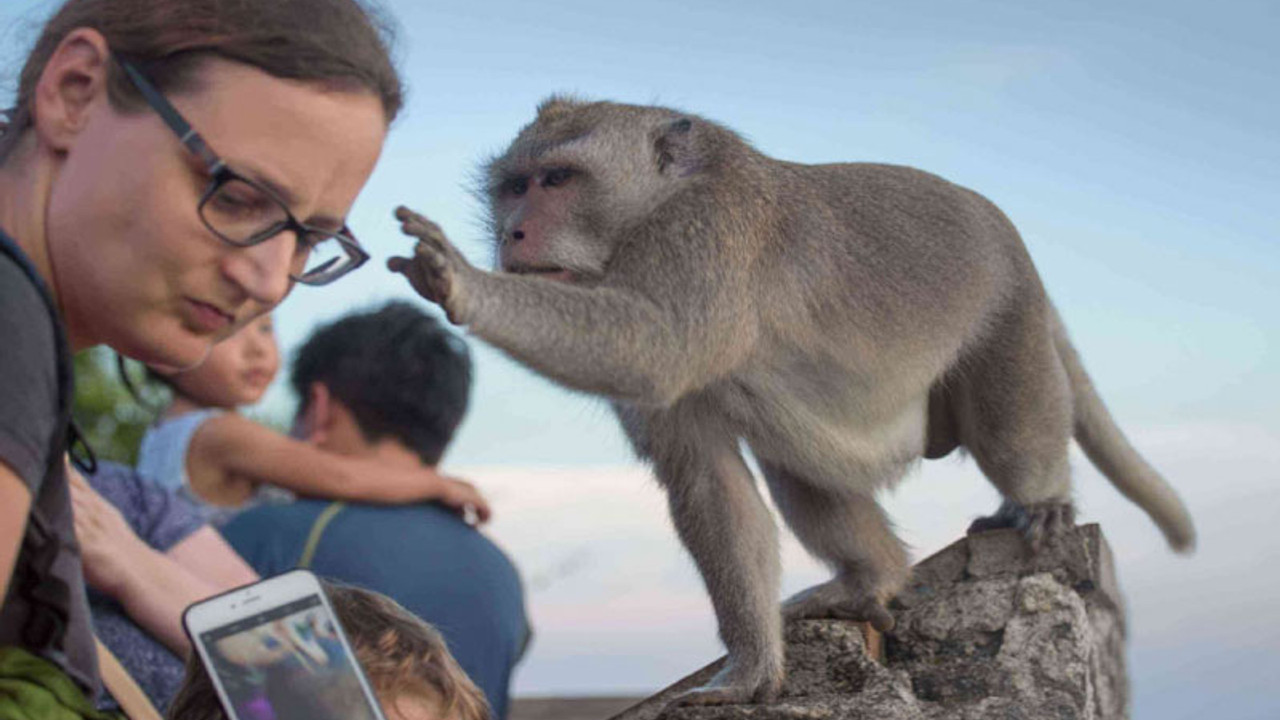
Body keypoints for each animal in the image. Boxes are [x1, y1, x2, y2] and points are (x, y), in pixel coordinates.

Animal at [384, 95, 1192, 702]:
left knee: (1009, 427)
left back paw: (1040, 501)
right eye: (513, 186)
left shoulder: (704, 238)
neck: (655, 205)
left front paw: (462, 282)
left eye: (556, 179)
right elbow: (709, 479)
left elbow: (652, 347)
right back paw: (871, 579)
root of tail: (1012, 240)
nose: (513, 233)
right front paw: (749, 670)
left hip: (1009, 314)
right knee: (795, 460)